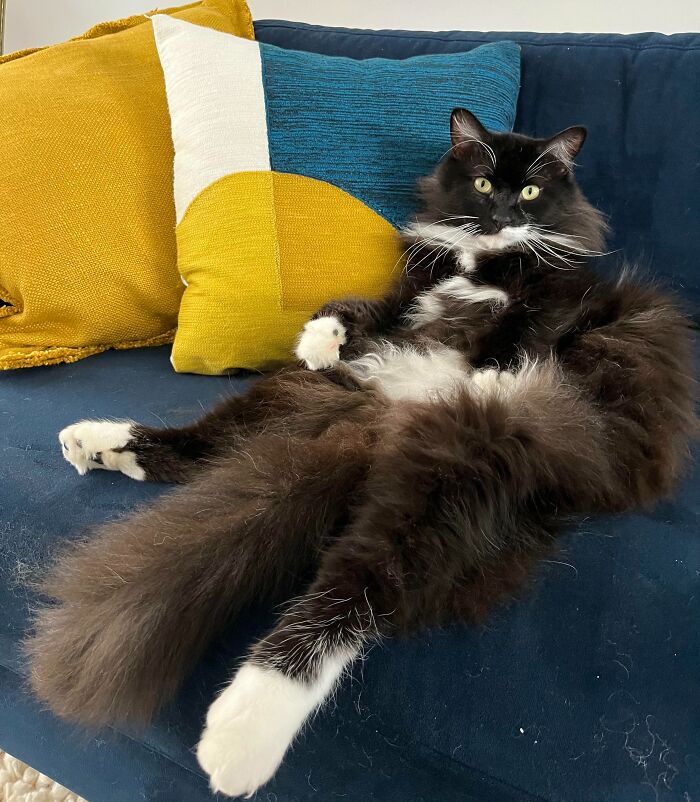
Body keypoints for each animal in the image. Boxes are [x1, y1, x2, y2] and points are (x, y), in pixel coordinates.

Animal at [26, 109, 696, 796]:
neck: (479, 258)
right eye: (484, 183)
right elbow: (351, 308)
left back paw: (239, 736)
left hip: (470, 467)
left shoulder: (557, 302)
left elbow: (520, 330)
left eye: (532, 191)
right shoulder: (402, 304)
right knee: (203, 446)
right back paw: (102, 445)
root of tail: (383, 424)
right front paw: (319, 339)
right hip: (307, 395)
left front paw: (491, 371)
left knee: (361, 585)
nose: (504, 212)